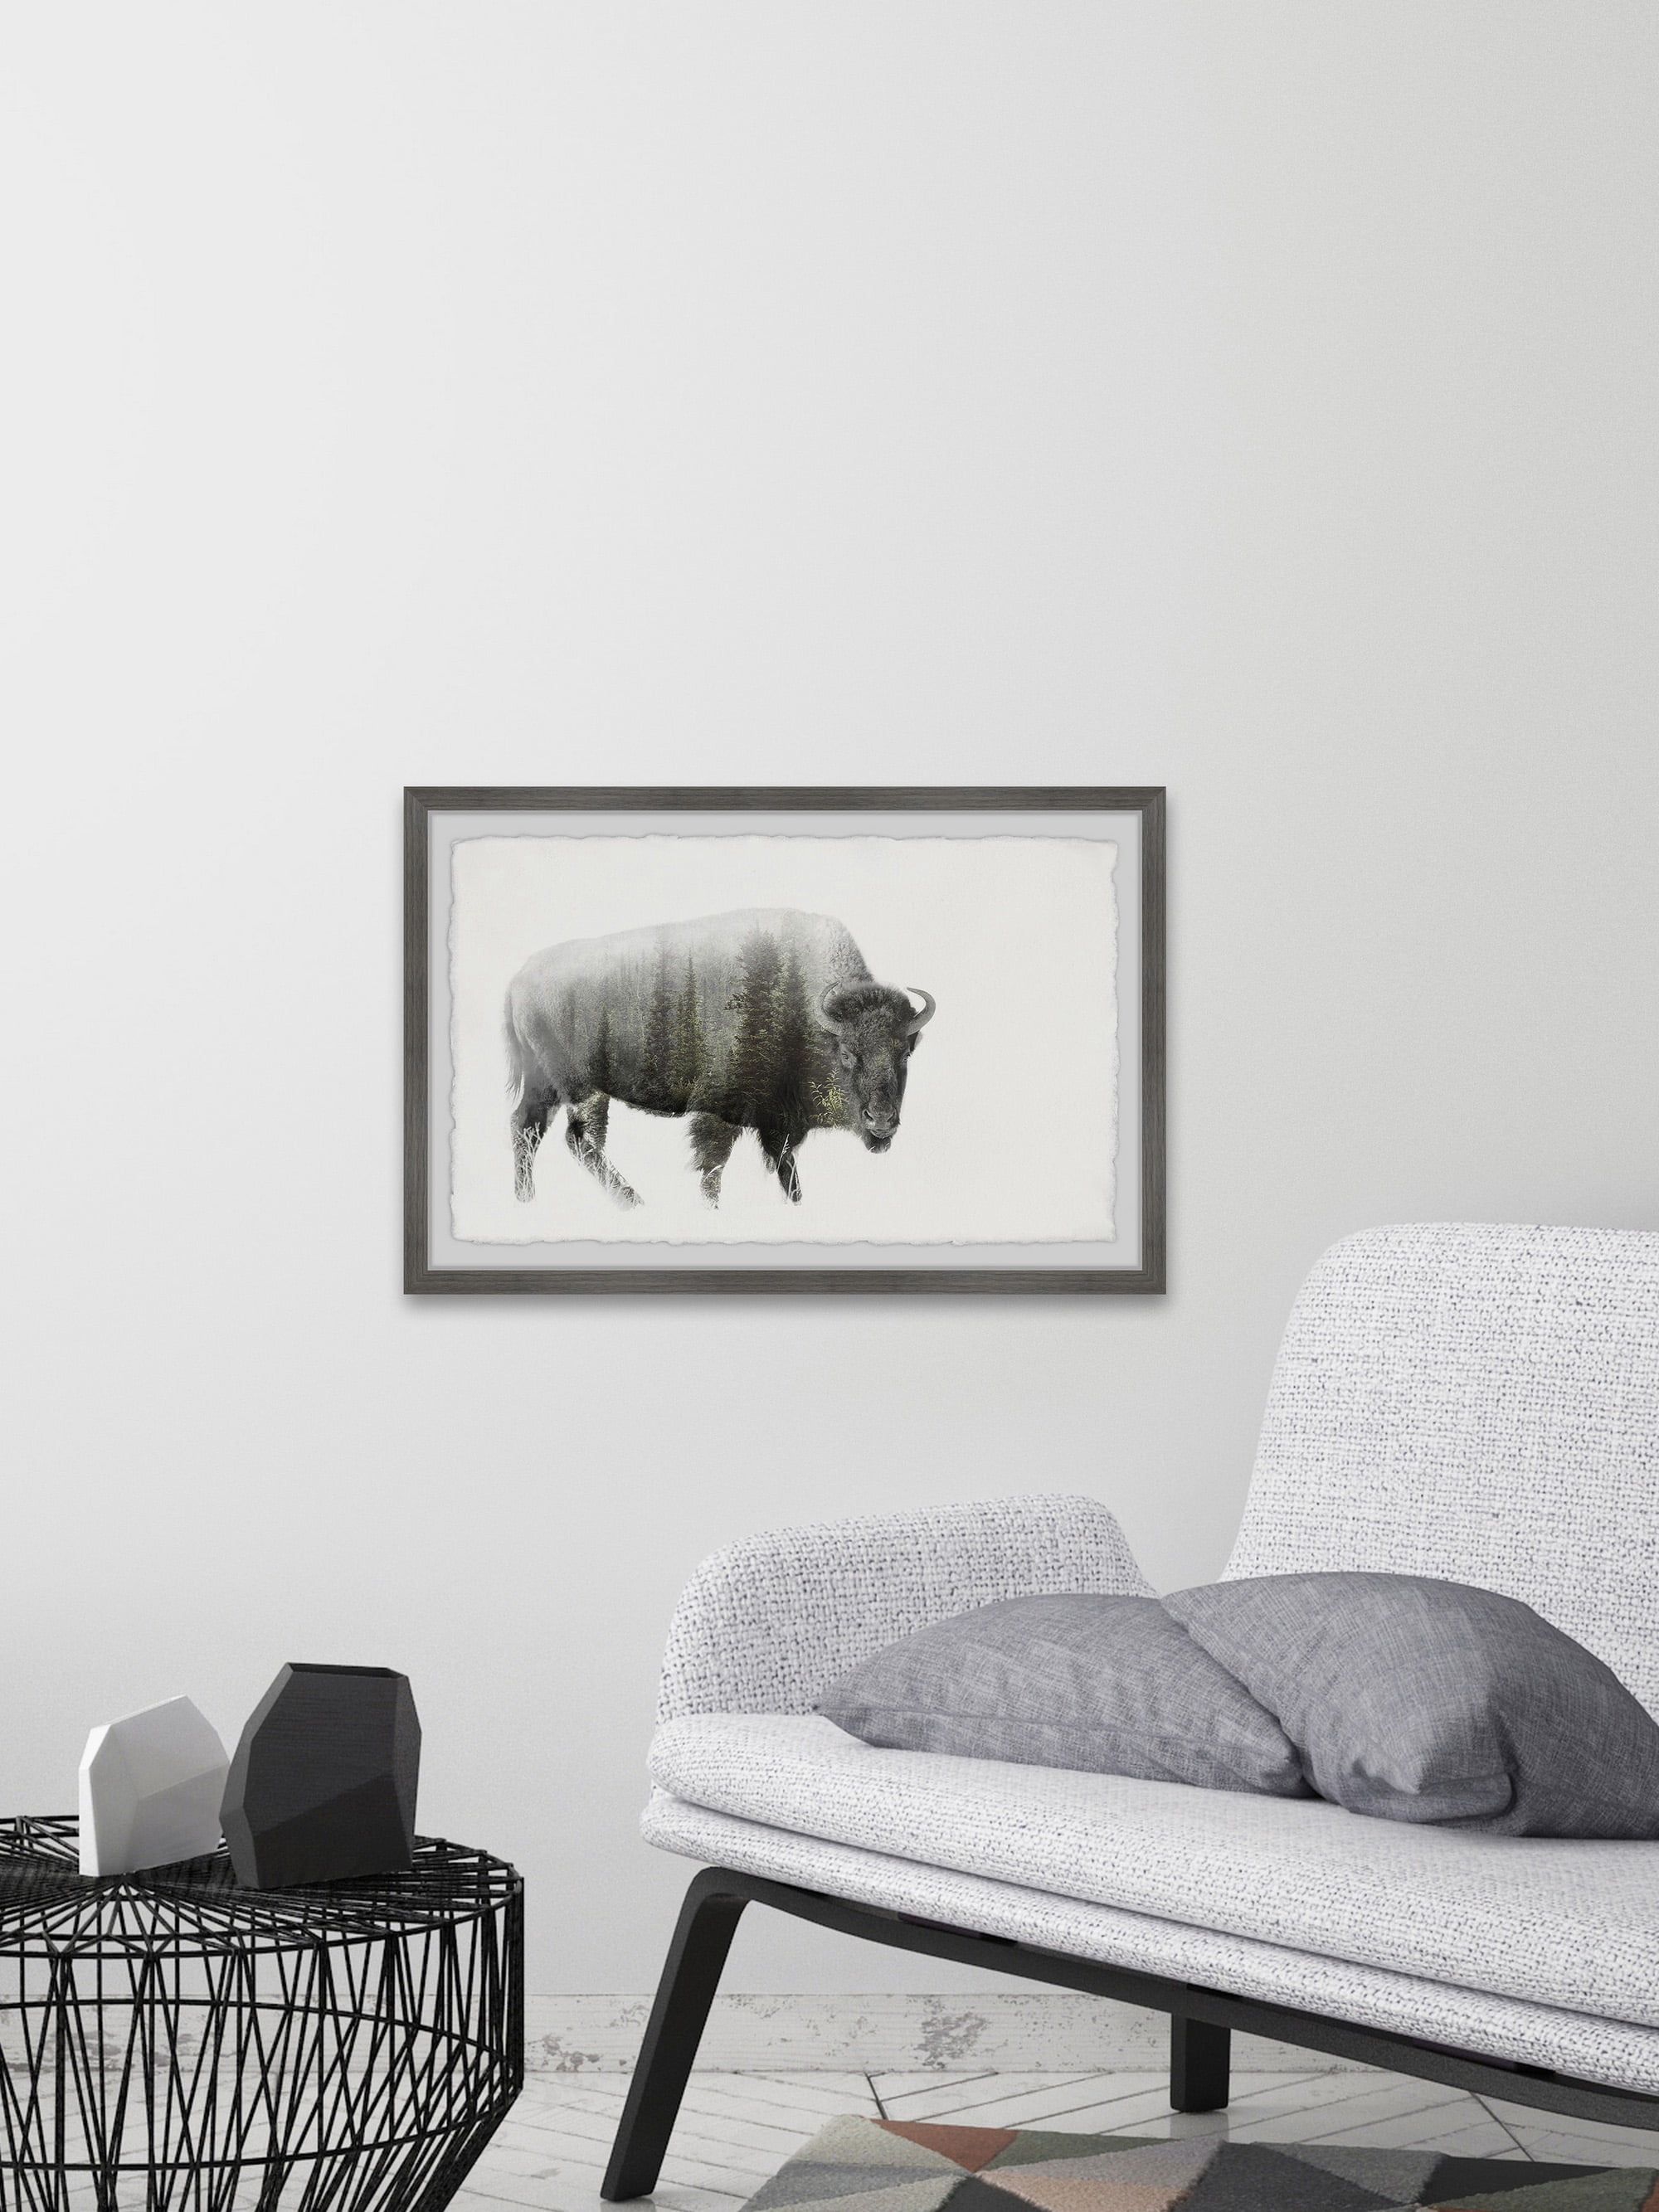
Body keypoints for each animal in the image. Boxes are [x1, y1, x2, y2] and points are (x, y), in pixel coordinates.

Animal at [503, 908, 935, 1207]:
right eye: (846, 1052)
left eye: (906, 1053)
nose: (881, 1120)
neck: (804, 1007)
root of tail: (519, 977)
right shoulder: (721, 1115)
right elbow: (712, 1170)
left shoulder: (776, 1125)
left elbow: (786, 1173)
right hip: (582, 1088)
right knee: (579, 1141)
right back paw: (635, 1203)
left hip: (546, 1084)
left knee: (527, 1128)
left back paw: (527, 1200)